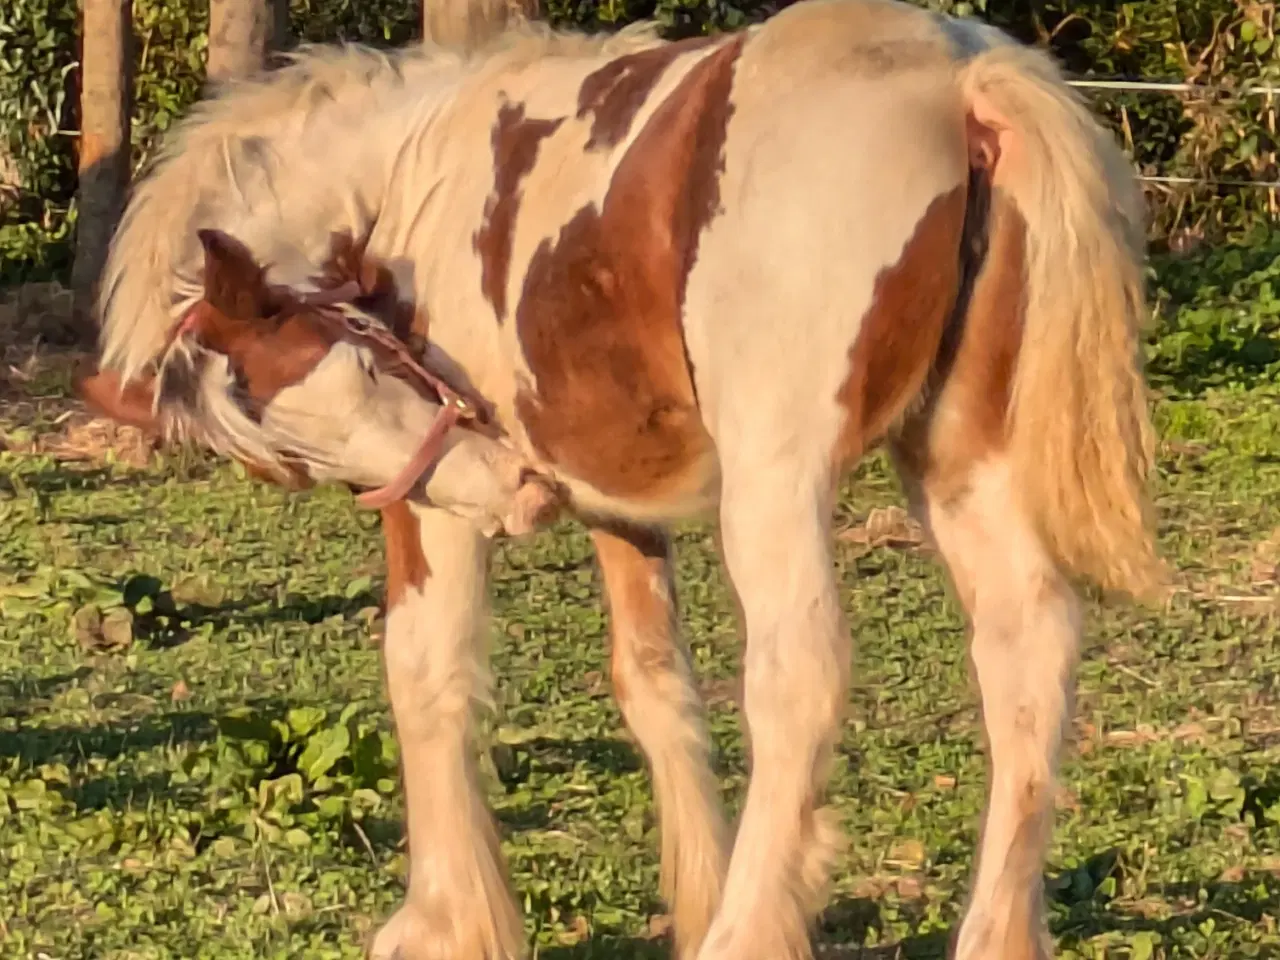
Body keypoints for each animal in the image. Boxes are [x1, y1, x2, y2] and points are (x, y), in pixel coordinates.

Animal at [77, 3, 1162, 957]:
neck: (412, 172)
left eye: (349, 359)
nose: (511, 496)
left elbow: (426, 671)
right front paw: (689, 897)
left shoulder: (440, 508)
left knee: (797, 675)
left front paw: (443, 925)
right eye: (297, 458)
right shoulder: (617, 502)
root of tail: (962, 85)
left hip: (777, 480)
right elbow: (653, 685)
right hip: (955, 456)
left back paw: (745, 934)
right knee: (1025, 650)